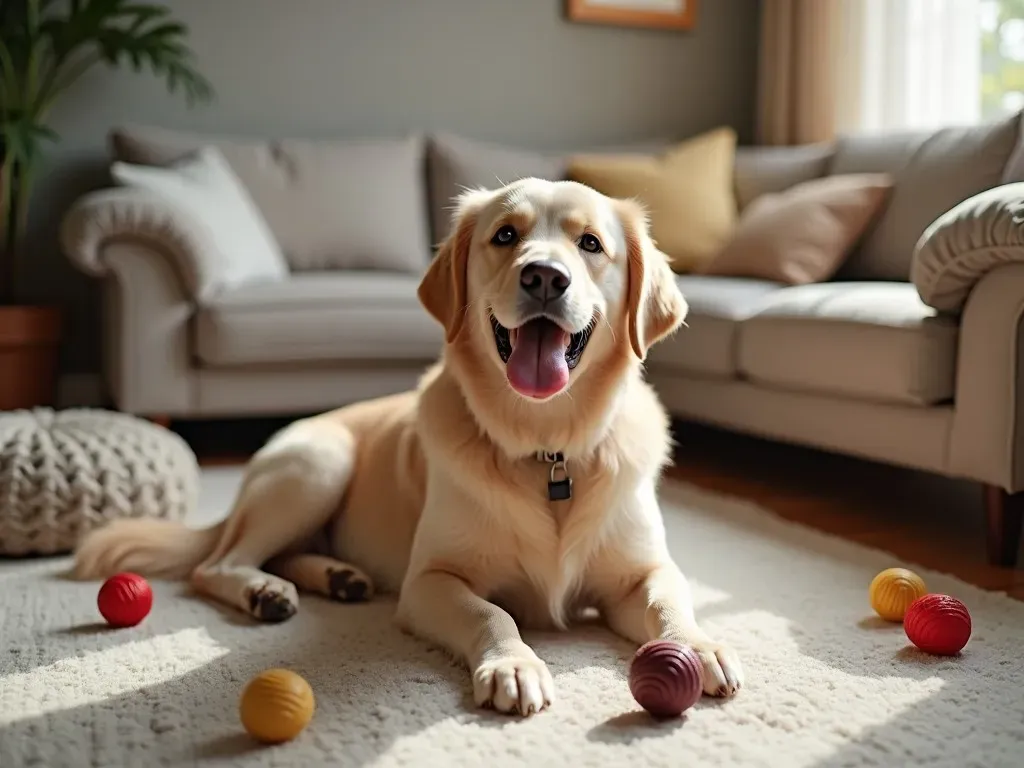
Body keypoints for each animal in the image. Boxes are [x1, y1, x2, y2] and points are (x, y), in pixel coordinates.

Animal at [74, 179, 745, 716]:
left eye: (591, 245)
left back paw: (337, 577)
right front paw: (514, 664)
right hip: (317, 464)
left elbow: (669, 604)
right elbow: (492, 613)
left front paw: (699, 647)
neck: (547, 449)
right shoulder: (431, 581)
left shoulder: (643, 571)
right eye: (505, 235)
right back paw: (265, 591)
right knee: (214, 564)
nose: (544, 277)